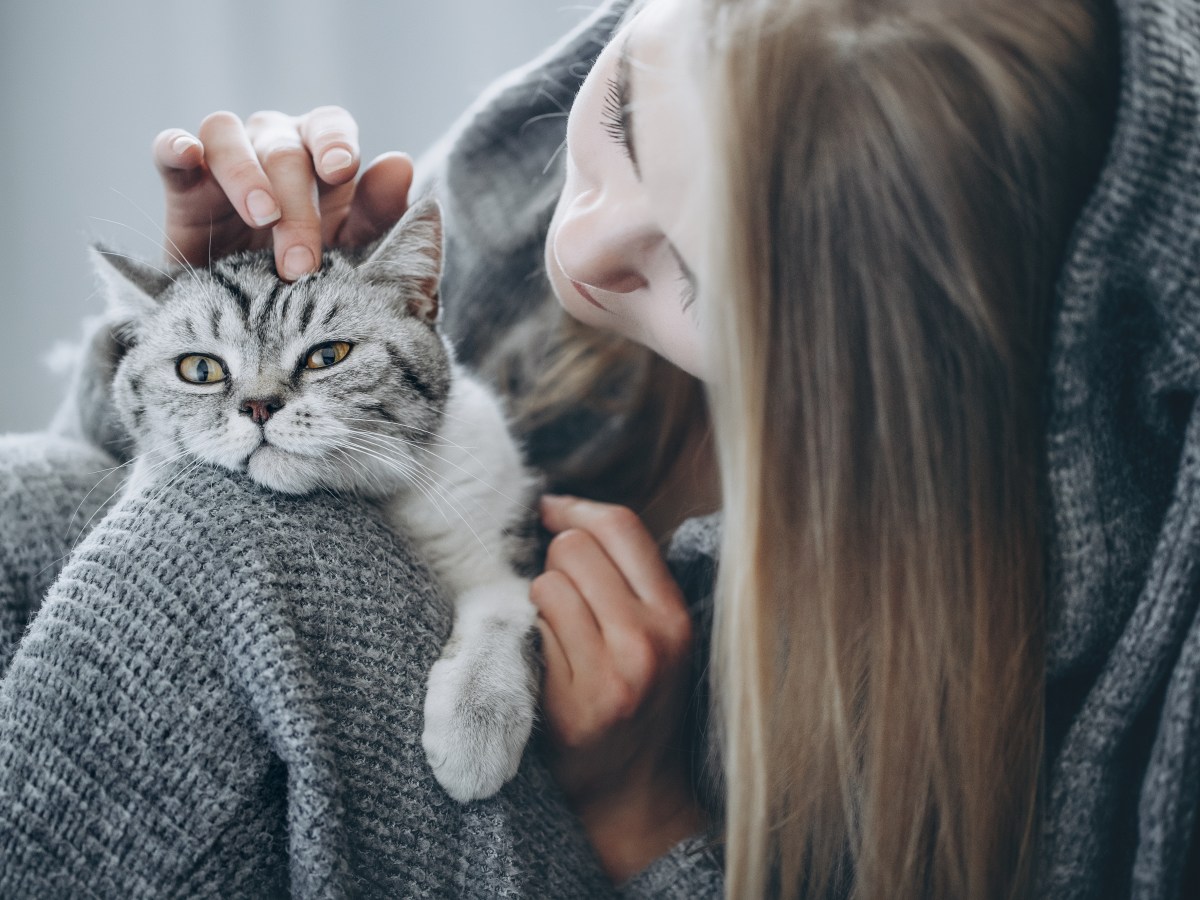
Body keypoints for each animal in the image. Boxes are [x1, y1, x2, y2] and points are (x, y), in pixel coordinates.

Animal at [96, 200, 537, 806]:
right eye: (200, 369)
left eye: (329, 356)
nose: (259, 406)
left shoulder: (496, 550)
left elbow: (499, 613)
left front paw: (477, 725)